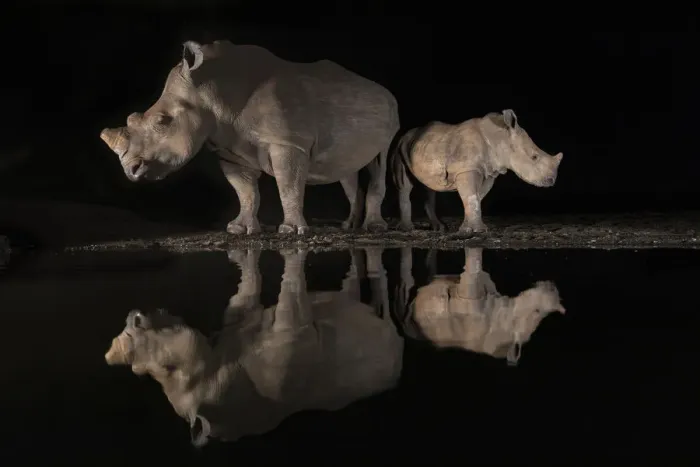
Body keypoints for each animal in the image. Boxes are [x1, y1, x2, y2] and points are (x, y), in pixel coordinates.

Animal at [100, 40, 400, 235]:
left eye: (163, 122)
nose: (131, 170)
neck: (209, 90)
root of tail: (384, 90)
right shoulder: (228, 149)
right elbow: (245, 191)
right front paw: (238, 229)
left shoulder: (287, 142)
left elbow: (288, 185)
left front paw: (292, 231)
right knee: (348, 169)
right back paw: (350, 226)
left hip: (391, 115)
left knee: (379, 160)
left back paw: (374, 228)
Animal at [391, 109, 563, 234]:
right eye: (534, 157)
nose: (551, 180)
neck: (500, 138)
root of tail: (406, 134)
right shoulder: (467, 168)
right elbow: (471, 196)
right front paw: (475, 231)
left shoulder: (489, 171)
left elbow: (476, 197)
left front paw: (470, 228)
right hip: (400, 147)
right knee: (404, 185)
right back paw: (407, 229)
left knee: (430, 186)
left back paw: (440, 228)